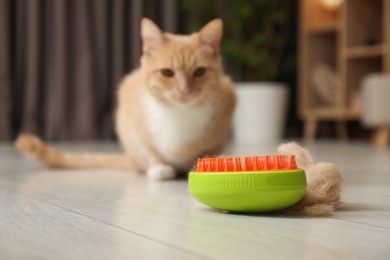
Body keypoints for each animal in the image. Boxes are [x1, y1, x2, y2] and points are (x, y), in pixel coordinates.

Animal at [15, 18, 236, 181]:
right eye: (167, 72)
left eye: (199, 72)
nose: (184, 91)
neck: (180, 114)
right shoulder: (131, 118)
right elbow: (149, 148)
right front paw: (159, 166)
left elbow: (208, 152)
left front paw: (202, 165)